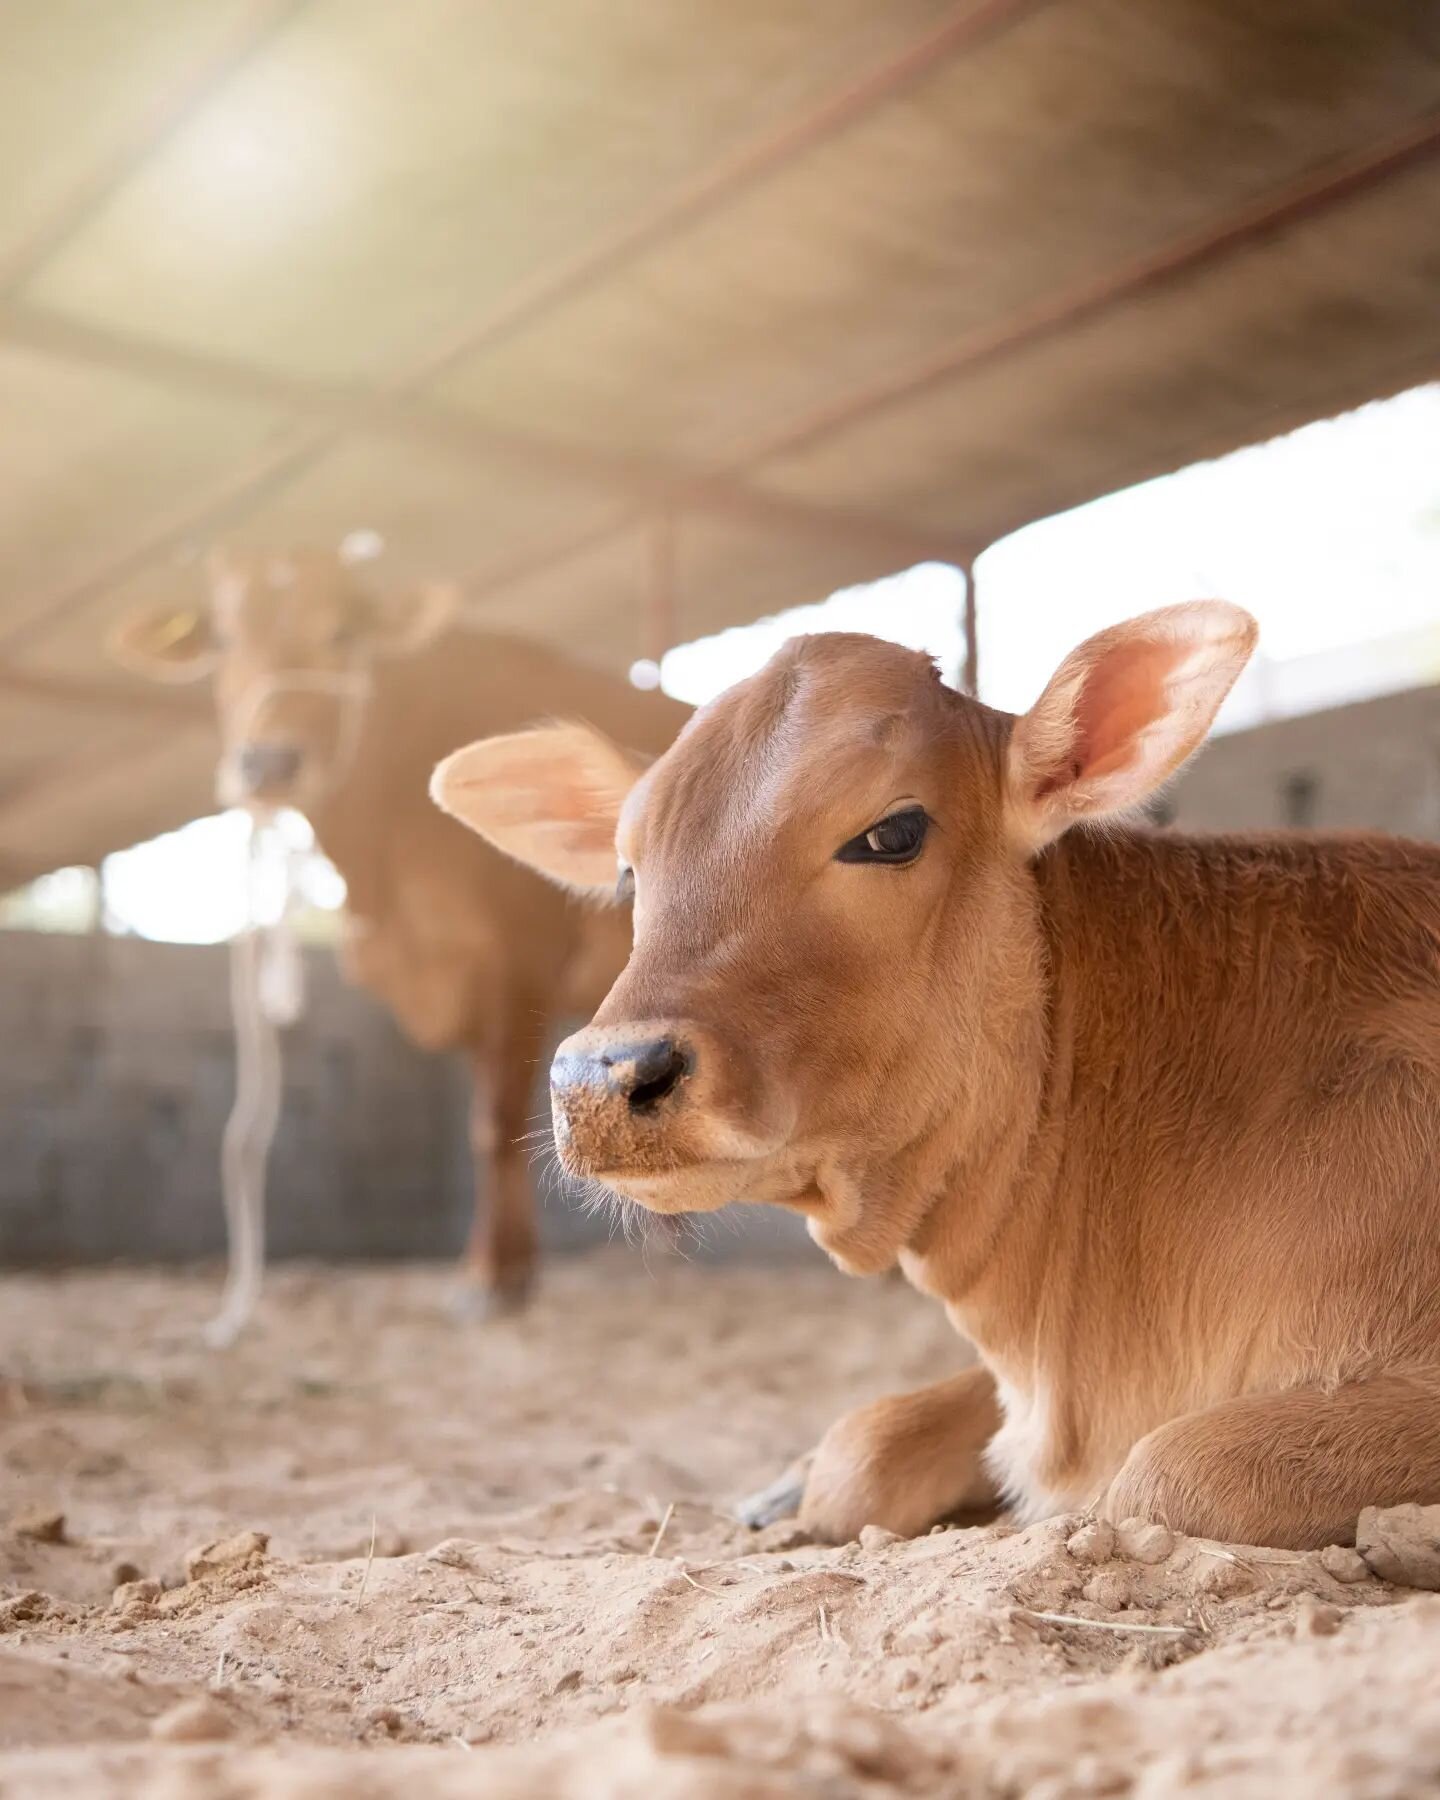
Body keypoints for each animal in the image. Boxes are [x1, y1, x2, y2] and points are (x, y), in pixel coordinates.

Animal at [112, 540, 687, 1317]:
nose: (268, 762)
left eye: (341, 635)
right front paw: (509, 1264)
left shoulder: (515, 954)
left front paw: (493, 1276)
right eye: (224, 640)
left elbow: (492, 1122)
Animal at [433, 608, 1440, 1548]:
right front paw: (793, 1484)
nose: (599, 1078)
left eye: (892, 833)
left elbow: (1175, 1471)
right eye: (627, 870)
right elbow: (866, 1445)